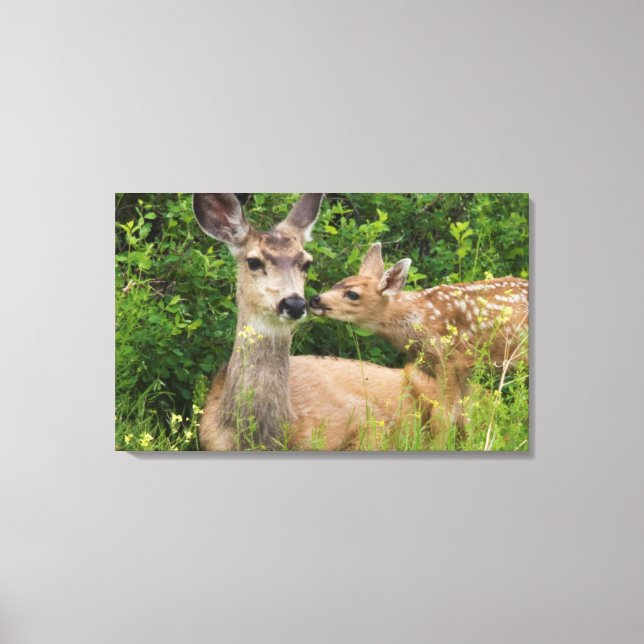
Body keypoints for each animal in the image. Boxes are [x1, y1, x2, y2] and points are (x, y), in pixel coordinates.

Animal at [309, 242, 529, 433]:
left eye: (353, 294)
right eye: (336, 284)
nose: (314, 299)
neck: (419, 319)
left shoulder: (450, 360)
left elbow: (443, 417)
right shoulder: (465, 368)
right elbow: (466, 416)